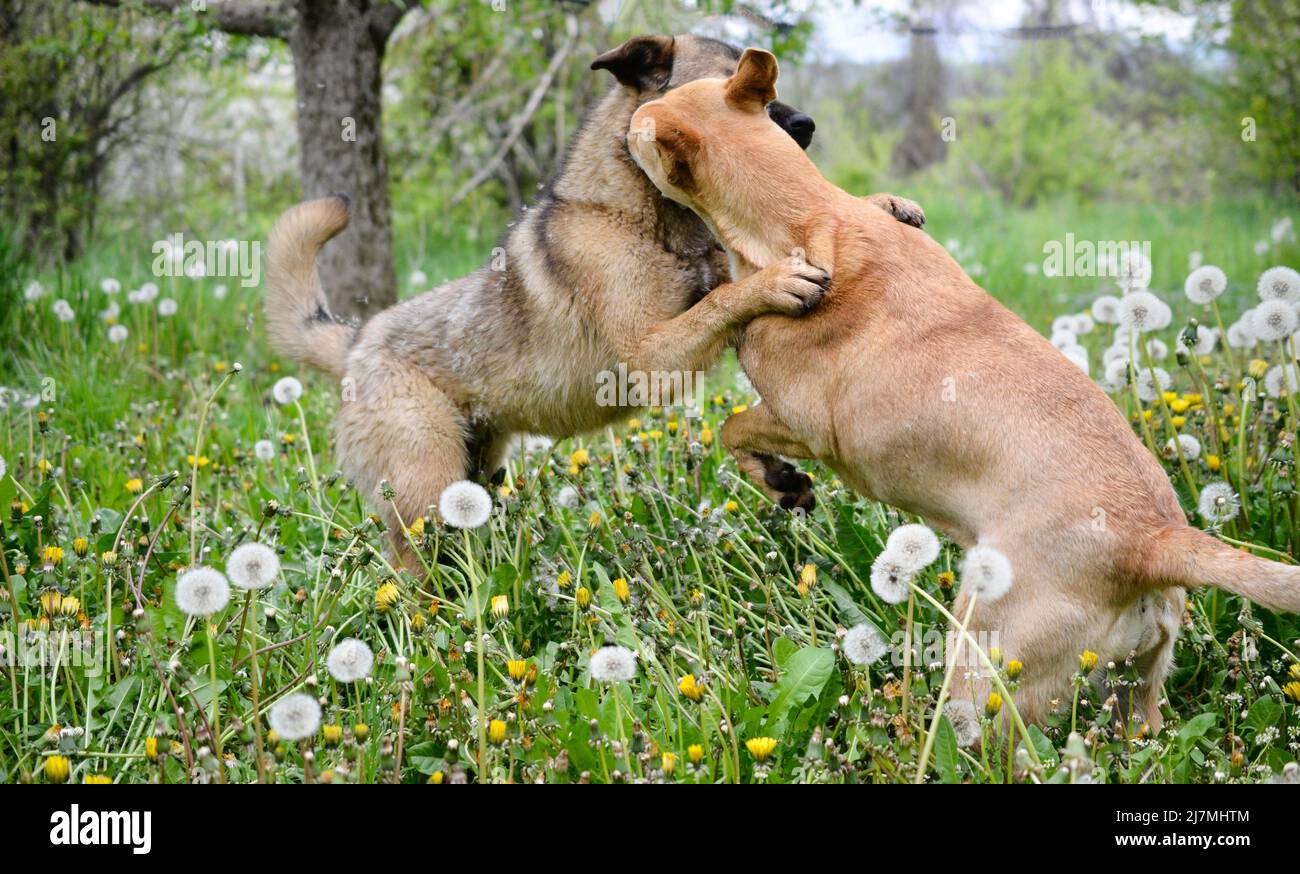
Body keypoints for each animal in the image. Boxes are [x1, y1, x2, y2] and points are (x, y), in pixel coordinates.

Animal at [258, 34, 920, 564]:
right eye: (722, 84)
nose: (806, 124)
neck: (640, 216)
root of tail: (357, 341)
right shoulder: (651, 357)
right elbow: (721, 298)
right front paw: (776, 280)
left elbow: (727, 278)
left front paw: (883, 206)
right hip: (423, 489)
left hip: (476, 476)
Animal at [629, 47, 1300, 728]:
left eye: (641, 128)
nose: (622, 123)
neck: (805, 212)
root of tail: (1154, 540)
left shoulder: (804, 426)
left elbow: (732, 427)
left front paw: (778, 481)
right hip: (1136, 698)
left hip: (984, 680)